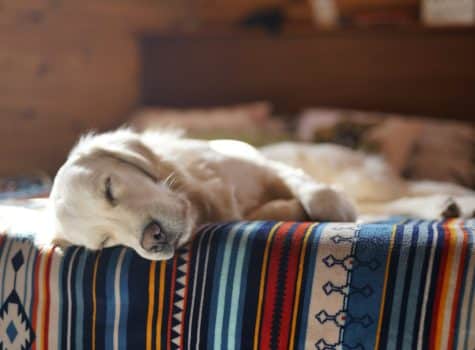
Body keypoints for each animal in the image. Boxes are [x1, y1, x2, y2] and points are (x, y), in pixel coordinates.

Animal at [51, 129, 356, 260]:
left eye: (109, 189)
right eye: (104, 242)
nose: (152, 240)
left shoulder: (262, 167)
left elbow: (310, 189)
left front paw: (337, 206)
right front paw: (290, 208)